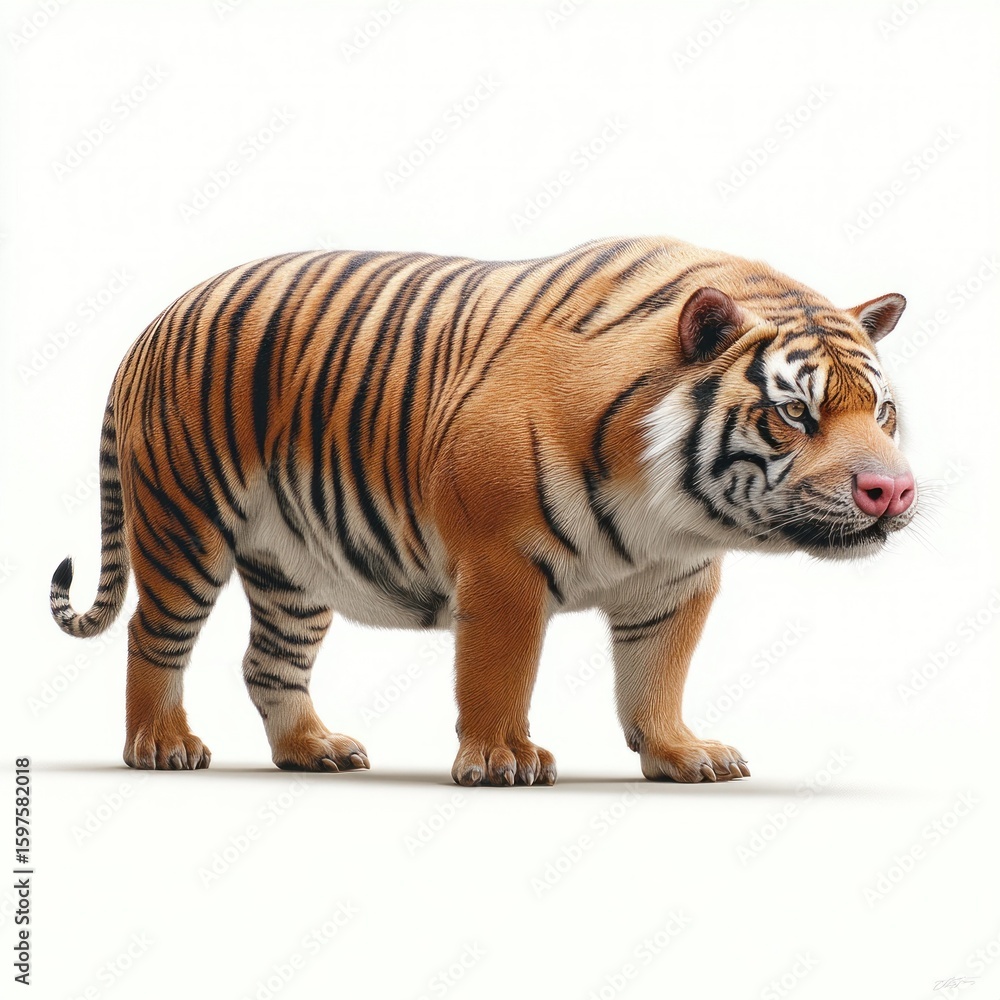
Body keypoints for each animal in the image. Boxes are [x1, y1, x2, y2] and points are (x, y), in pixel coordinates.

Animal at [49, 236, 917, 785]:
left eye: (882, 413)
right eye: (797, 413)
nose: (893, 491)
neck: (668, 509)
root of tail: (158, 319)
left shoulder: (676, 583)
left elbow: (655, 678)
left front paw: (680, 754)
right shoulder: (503, 565)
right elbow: (497, 673)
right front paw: (503, 759)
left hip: (294, 564)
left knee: (269, 661)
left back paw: (312, 749)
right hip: (185, 529)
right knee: (152, 636)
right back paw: (161, 744)